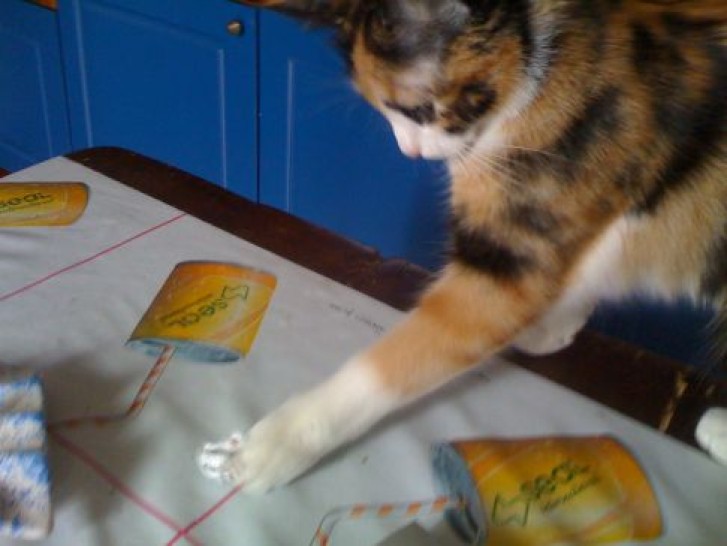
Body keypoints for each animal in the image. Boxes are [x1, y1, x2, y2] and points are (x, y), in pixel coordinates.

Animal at [198, 0, 727, 492]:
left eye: (418, 110)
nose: (411, 152)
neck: (539, 60)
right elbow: (585, 266)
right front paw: (553, 327)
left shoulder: (525, 222)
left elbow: (424, 344)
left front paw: (270, 447)